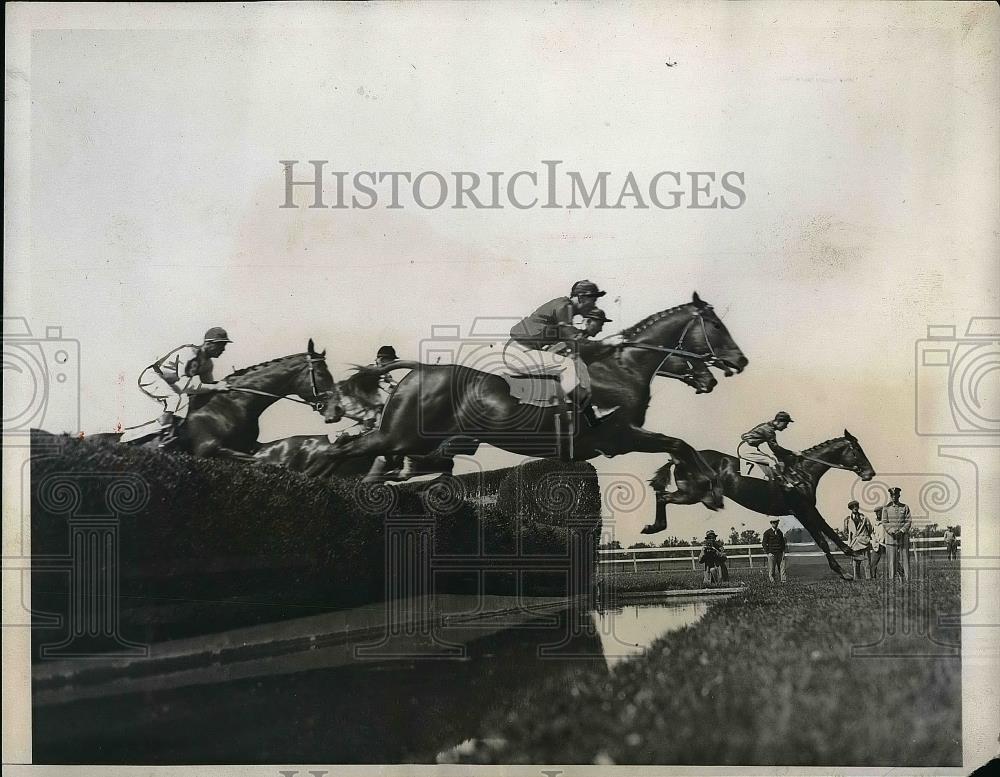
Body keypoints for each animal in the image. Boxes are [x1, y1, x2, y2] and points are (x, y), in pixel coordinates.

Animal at [316, 292, 748, 504]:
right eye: (716, 325)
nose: (739, 361)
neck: (623, 368)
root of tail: (420, 368)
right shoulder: (619, 436)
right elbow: (679, 444)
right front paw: (706, 486)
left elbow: (678, 446)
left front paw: (691, 484)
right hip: (401, 435)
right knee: (342, 450)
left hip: (417, 441)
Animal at [640, 430, 876, 576]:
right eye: (857, 450)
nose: (870, 473)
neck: (802, 471)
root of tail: (677, 458)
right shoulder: (804, 509)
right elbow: (824, 537)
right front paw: (846, 566)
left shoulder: (804, 510)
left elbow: (826, 535)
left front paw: (849, 561)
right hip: (692, 493)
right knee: (662, 497)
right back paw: (654, 526)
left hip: (690, 493)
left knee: (662, 495)